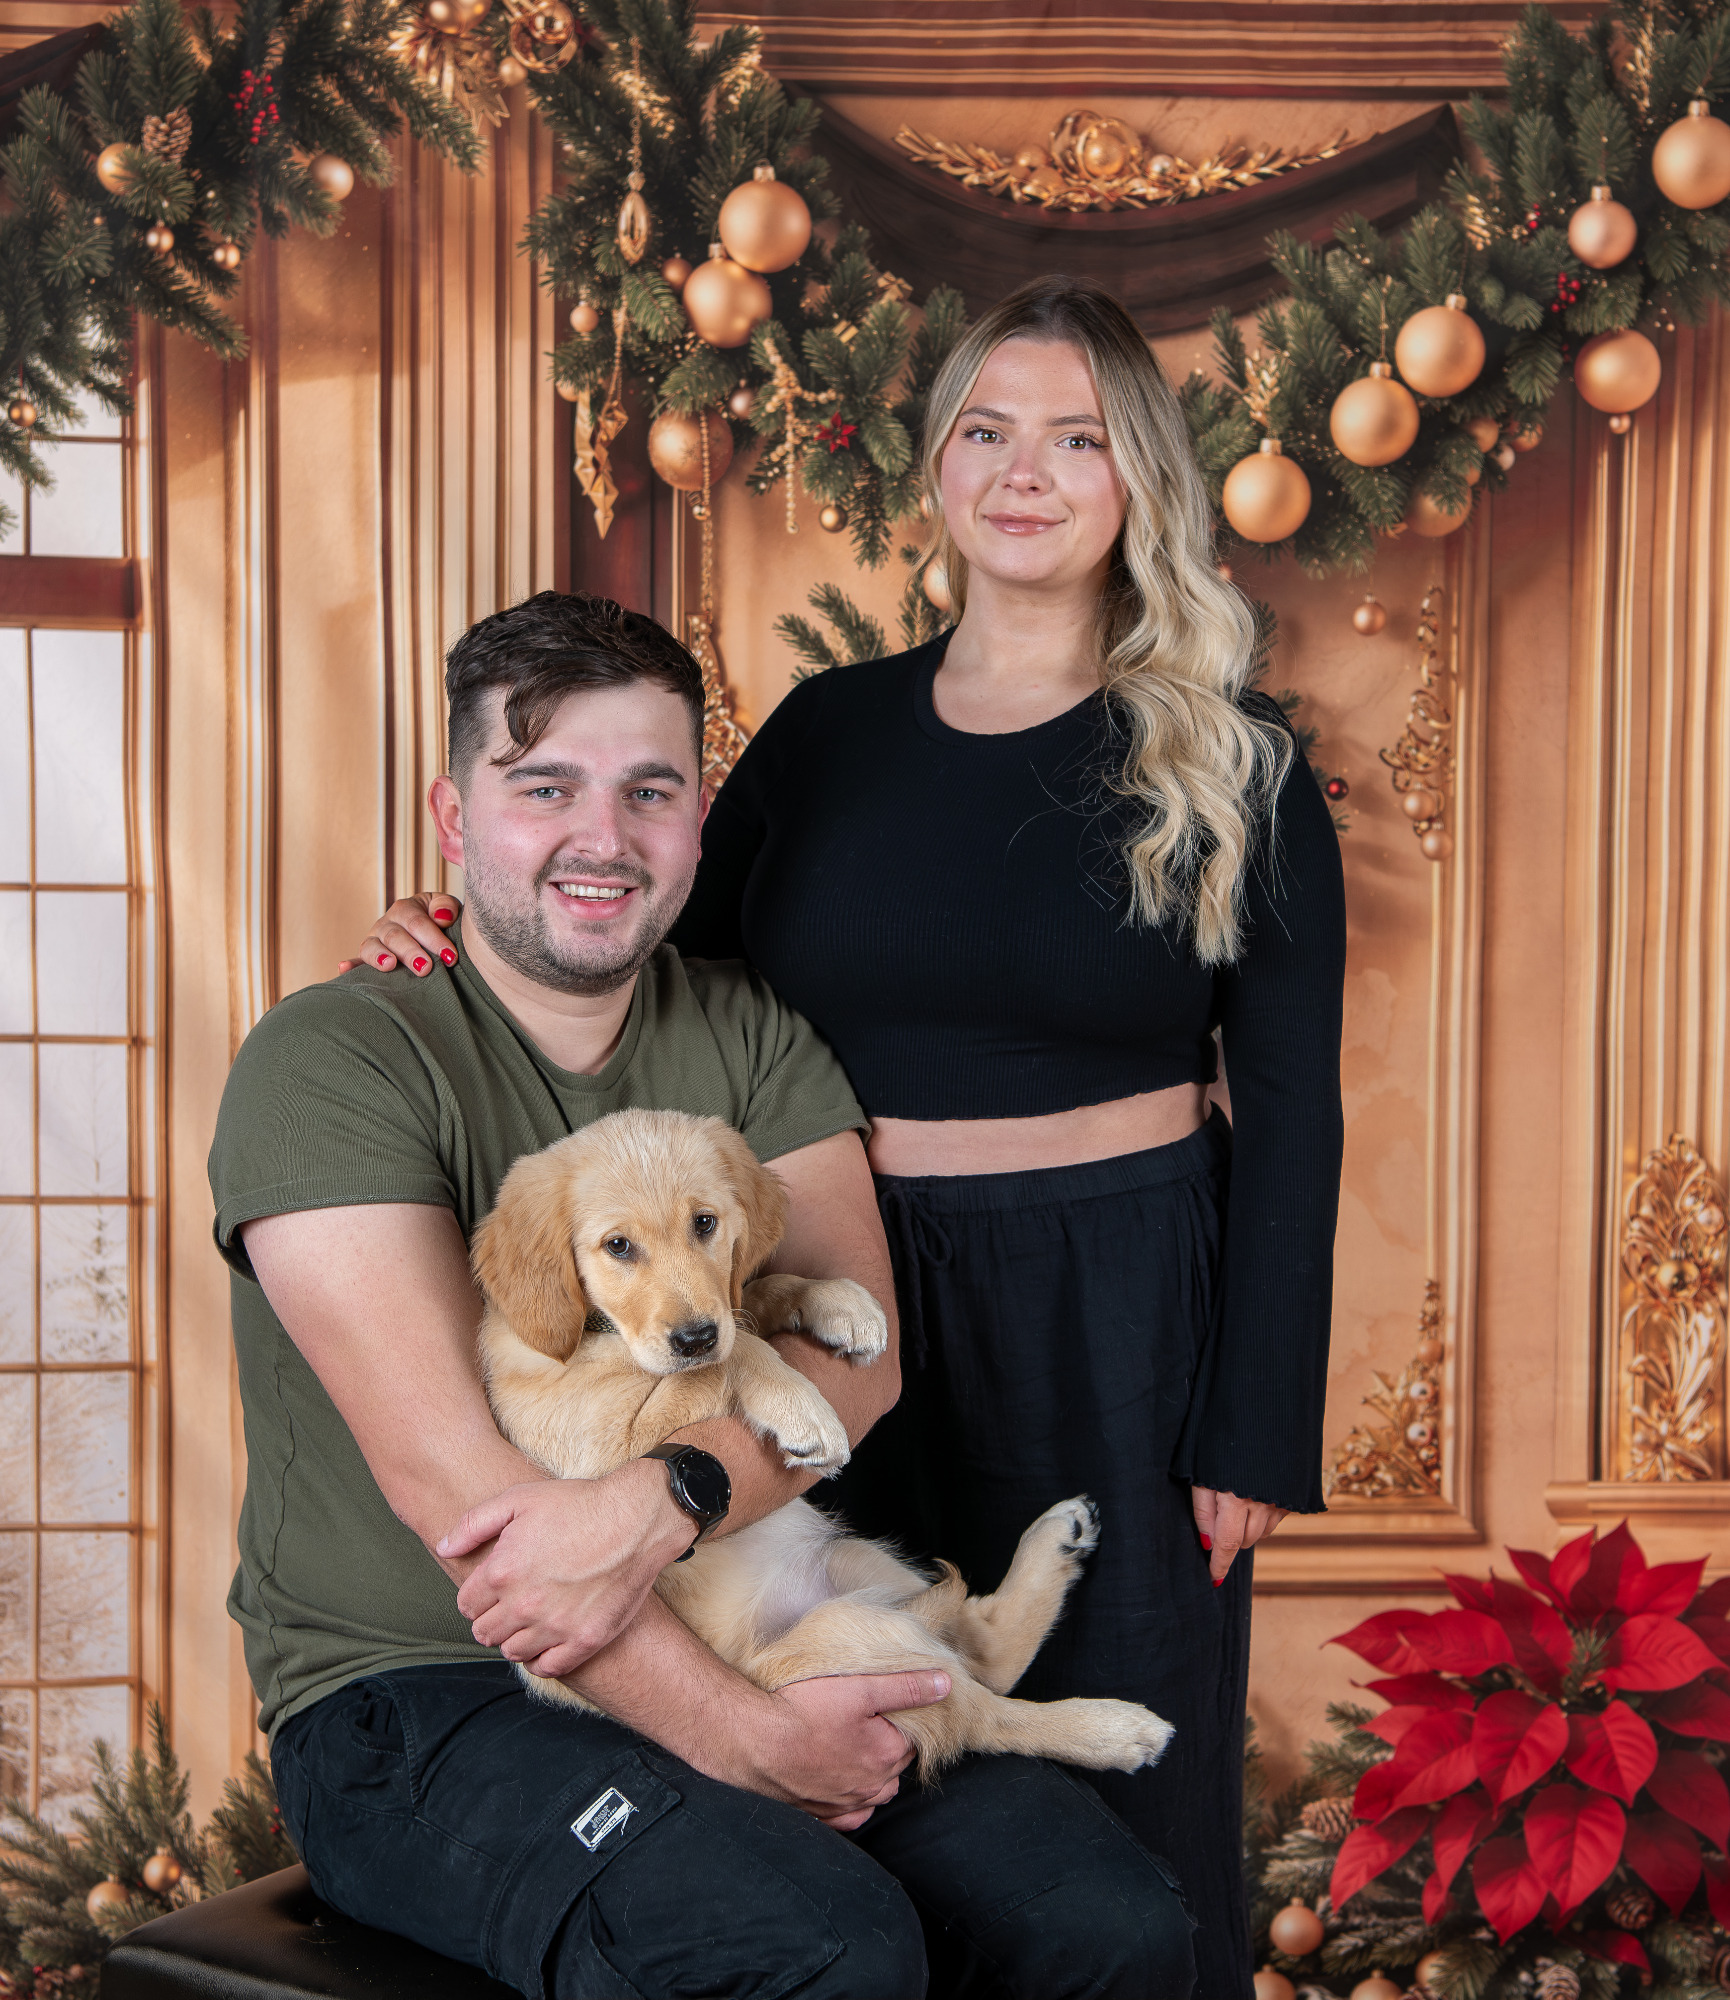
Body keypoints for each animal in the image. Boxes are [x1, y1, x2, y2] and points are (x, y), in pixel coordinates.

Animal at [470, 1107, 1173, 1778]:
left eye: (705, 1224)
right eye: (617, 1246)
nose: (695, 1336)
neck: (600, 1332)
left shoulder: (714, 1322)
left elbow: (752, 1299)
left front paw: (838, 1303)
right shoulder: (603, 1457)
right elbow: (733, 1356)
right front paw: (803, 1410)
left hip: (855, 1567)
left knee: (982, 1649)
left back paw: (1059, 1539)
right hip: (850, 1636)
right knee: (979, 1713)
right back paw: (1114, 1730)